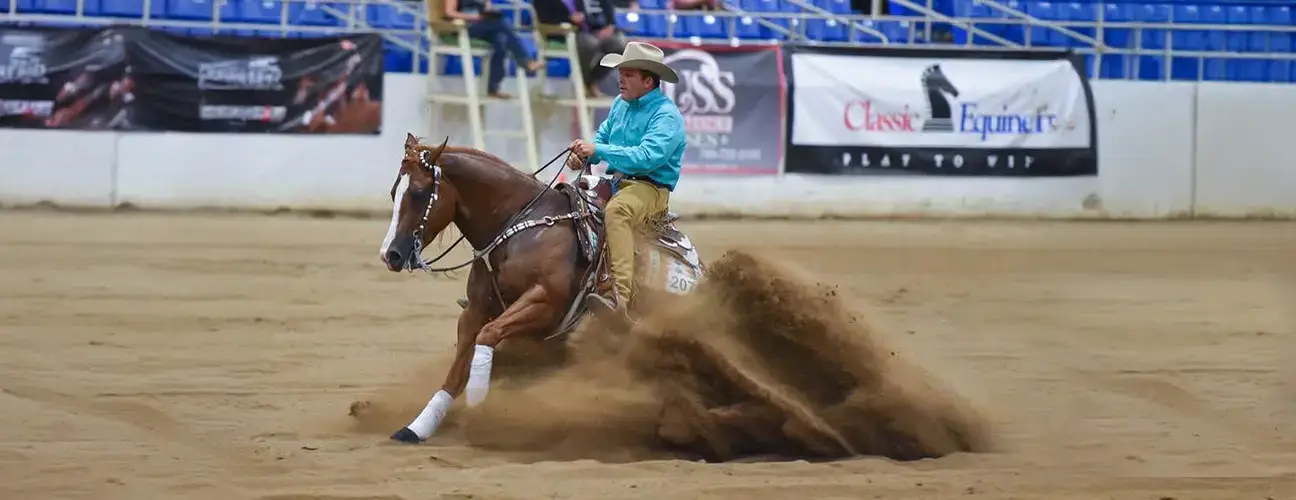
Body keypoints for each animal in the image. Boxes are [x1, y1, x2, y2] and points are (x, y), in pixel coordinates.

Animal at [377, 133, 706, 443]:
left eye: (419, 193)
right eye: (394, 192)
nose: (390, 255)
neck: (520, 226)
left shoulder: (544, 304)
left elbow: (489, 334)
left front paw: (478, 398)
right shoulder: (475, 309)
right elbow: (456, 371)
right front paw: (417, 428)